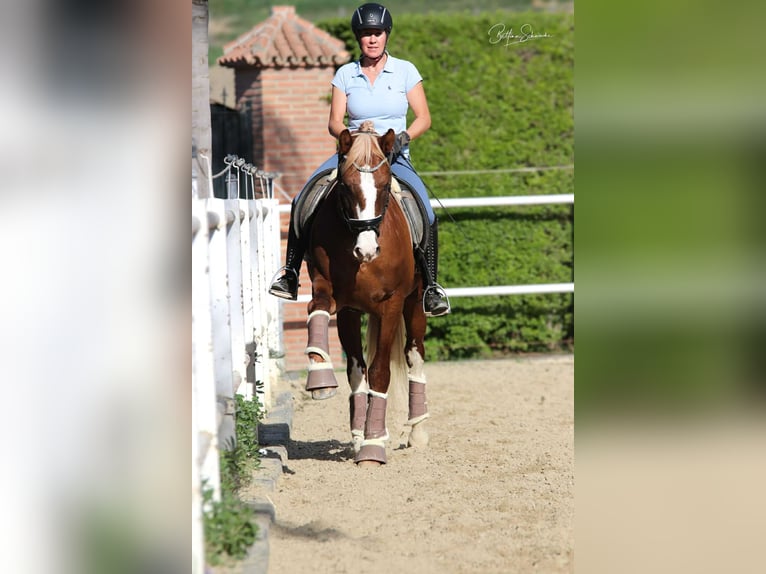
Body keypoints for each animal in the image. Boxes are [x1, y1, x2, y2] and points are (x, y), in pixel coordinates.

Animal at [302, 121, 432, 468]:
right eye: (346, 188)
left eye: (385, 187)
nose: (367, 250)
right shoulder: (337, 299)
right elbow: (319, 312)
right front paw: (320, 375)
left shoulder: (391, 305)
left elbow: (380, 373)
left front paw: (374, 445)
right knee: (358, 367)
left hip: (415, 304)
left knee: (414, 355)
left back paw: (417, 432)